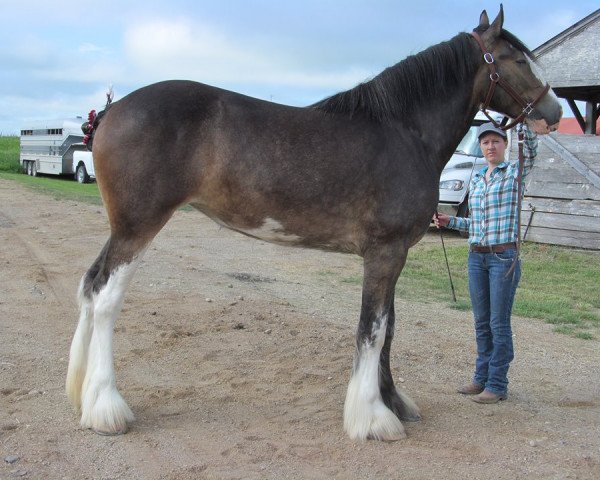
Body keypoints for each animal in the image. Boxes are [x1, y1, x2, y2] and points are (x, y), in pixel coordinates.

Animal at [65, 6, 564, 442]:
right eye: (518, 59)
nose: (555, 112)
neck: (405, 132)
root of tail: (112, 111)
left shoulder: (393, 254)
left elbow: (389, 328)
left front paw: (393, 402)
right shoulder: (384, 252)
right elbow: (373, 329)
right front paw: (373, 419)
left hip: (123, 230)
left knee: (89, 286)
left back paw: (82, 397)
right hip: (138, 227)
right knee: (106, 299)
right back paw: (107, 408)